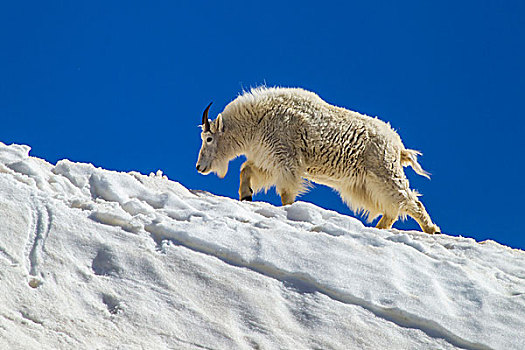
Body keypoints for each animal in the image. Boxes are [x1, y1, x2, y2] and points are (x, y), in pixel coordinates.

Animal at [194, 86, 440, 234]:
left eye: (208, 138)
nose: (199, 167)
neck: (258, 120)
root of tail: (398, 146)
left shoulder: (286, 160)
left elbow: (286, 192)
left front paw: (290, 211)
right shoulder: (269, 161)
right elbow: (246, 169)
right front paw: (246, 196)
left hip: (384, 172)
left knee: (409, 200)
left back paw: (432, 229)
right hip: (363, 184)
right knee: (392, 208)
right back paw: (379, 229)